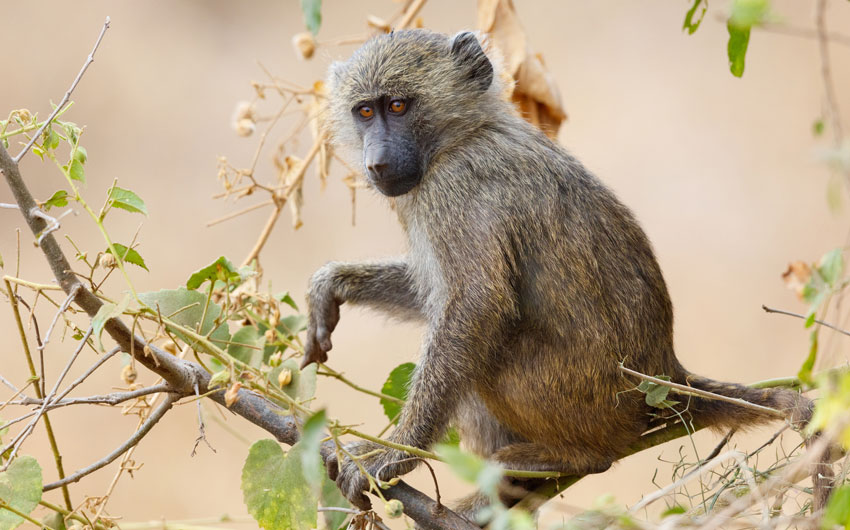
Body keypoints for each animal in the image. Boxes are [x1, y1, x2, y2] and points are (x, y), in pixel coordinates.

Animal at [301, 29, 832, 521]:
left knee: (486, 351)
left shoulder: (457, 188)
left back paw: (569, 459)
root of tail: (668, 374)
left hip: (580, 400)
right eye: (364, 112)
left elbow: (475, 306)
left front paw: (392, 455)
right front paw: (331, 286)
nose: (377, 162)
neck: (465, 134)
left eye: (398, 105)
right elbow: (427, 291)